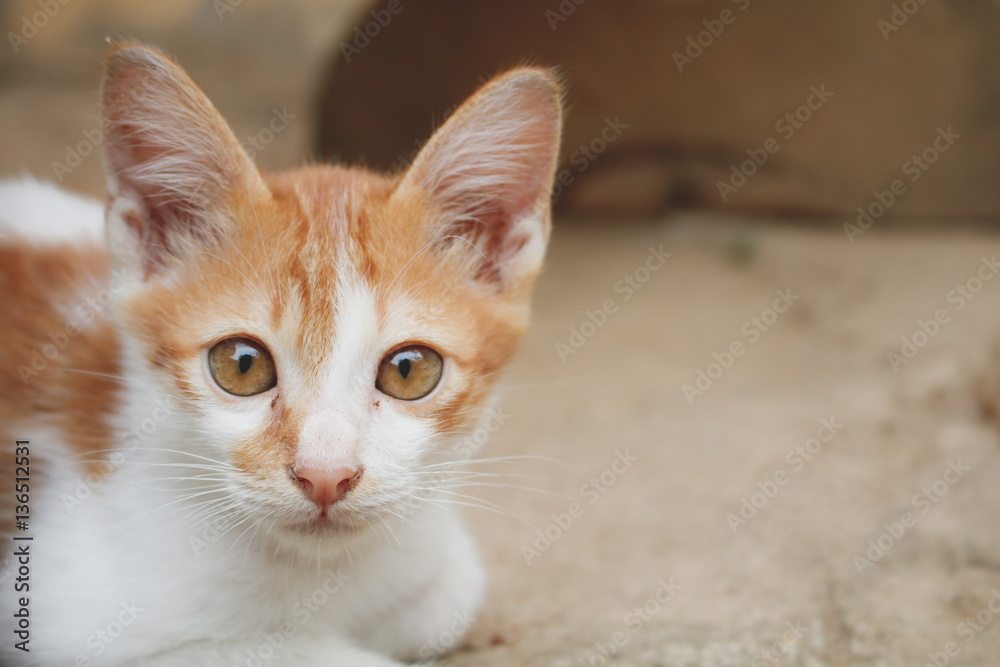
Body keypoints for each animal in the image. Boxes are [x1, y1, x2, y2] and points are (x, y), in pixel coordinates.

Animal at [0, 44, 564, 664]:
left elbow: (450, 591)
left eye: (409, 371)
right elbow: (298, 650)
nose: (325, 475)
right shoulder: (70, 620)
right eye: (241, 365)